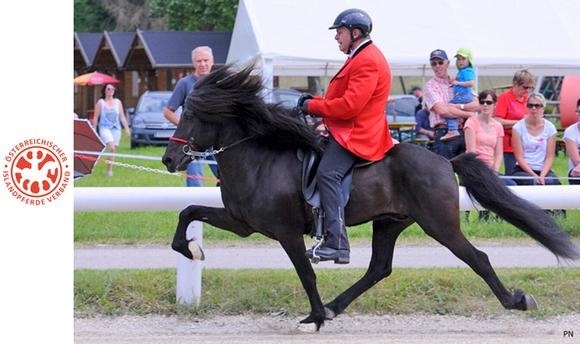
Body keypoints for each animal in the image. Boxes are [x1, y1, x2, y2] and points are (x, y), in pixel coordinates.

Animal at [161, 63, 576, 332]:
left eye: (192, 116)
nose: (168, 159)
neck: (259, 157)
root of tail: (444, 159)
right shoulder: (243, 223)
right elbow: (187, 211)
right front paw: (192, 250)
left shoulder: (286, 233)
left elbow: (306, 273)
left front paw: (314, 318)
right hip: (390, 222)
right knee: (379, 268)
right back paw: (335, 307)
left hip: (439, 223)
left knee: (478, 258)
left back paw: (517, 300)